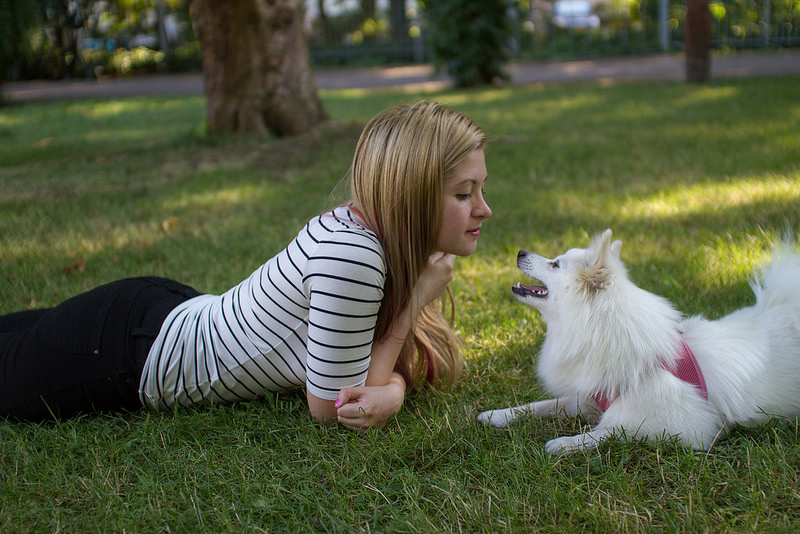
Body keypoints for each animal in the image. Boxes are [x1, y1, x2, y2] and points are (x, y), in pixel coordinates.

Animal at [478, 230, 800, 456]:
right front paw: (499, 415)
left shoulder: (684, 427)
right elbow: (542, 405)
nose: (520, 251)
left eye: (555, 264)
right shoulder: (592, 394)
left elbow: (609, 431)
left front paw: (566, 443)